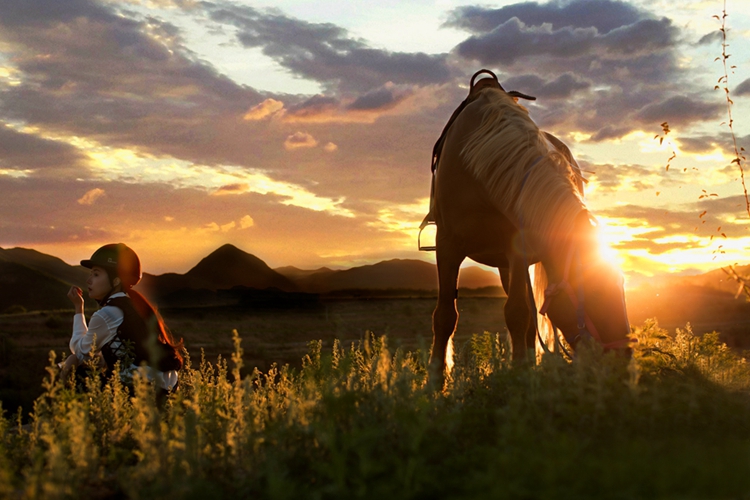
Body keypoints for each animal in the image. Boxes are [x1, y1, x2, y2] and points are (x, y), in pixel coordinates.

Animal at [428, 82, 628, 380]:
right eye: (595, 292)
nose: (624, 361)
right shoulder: (447, 246)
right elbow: (444, 316)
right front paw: (434, 379)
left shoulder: (517, 250)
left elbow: (519, 313)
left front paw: (521, 372)